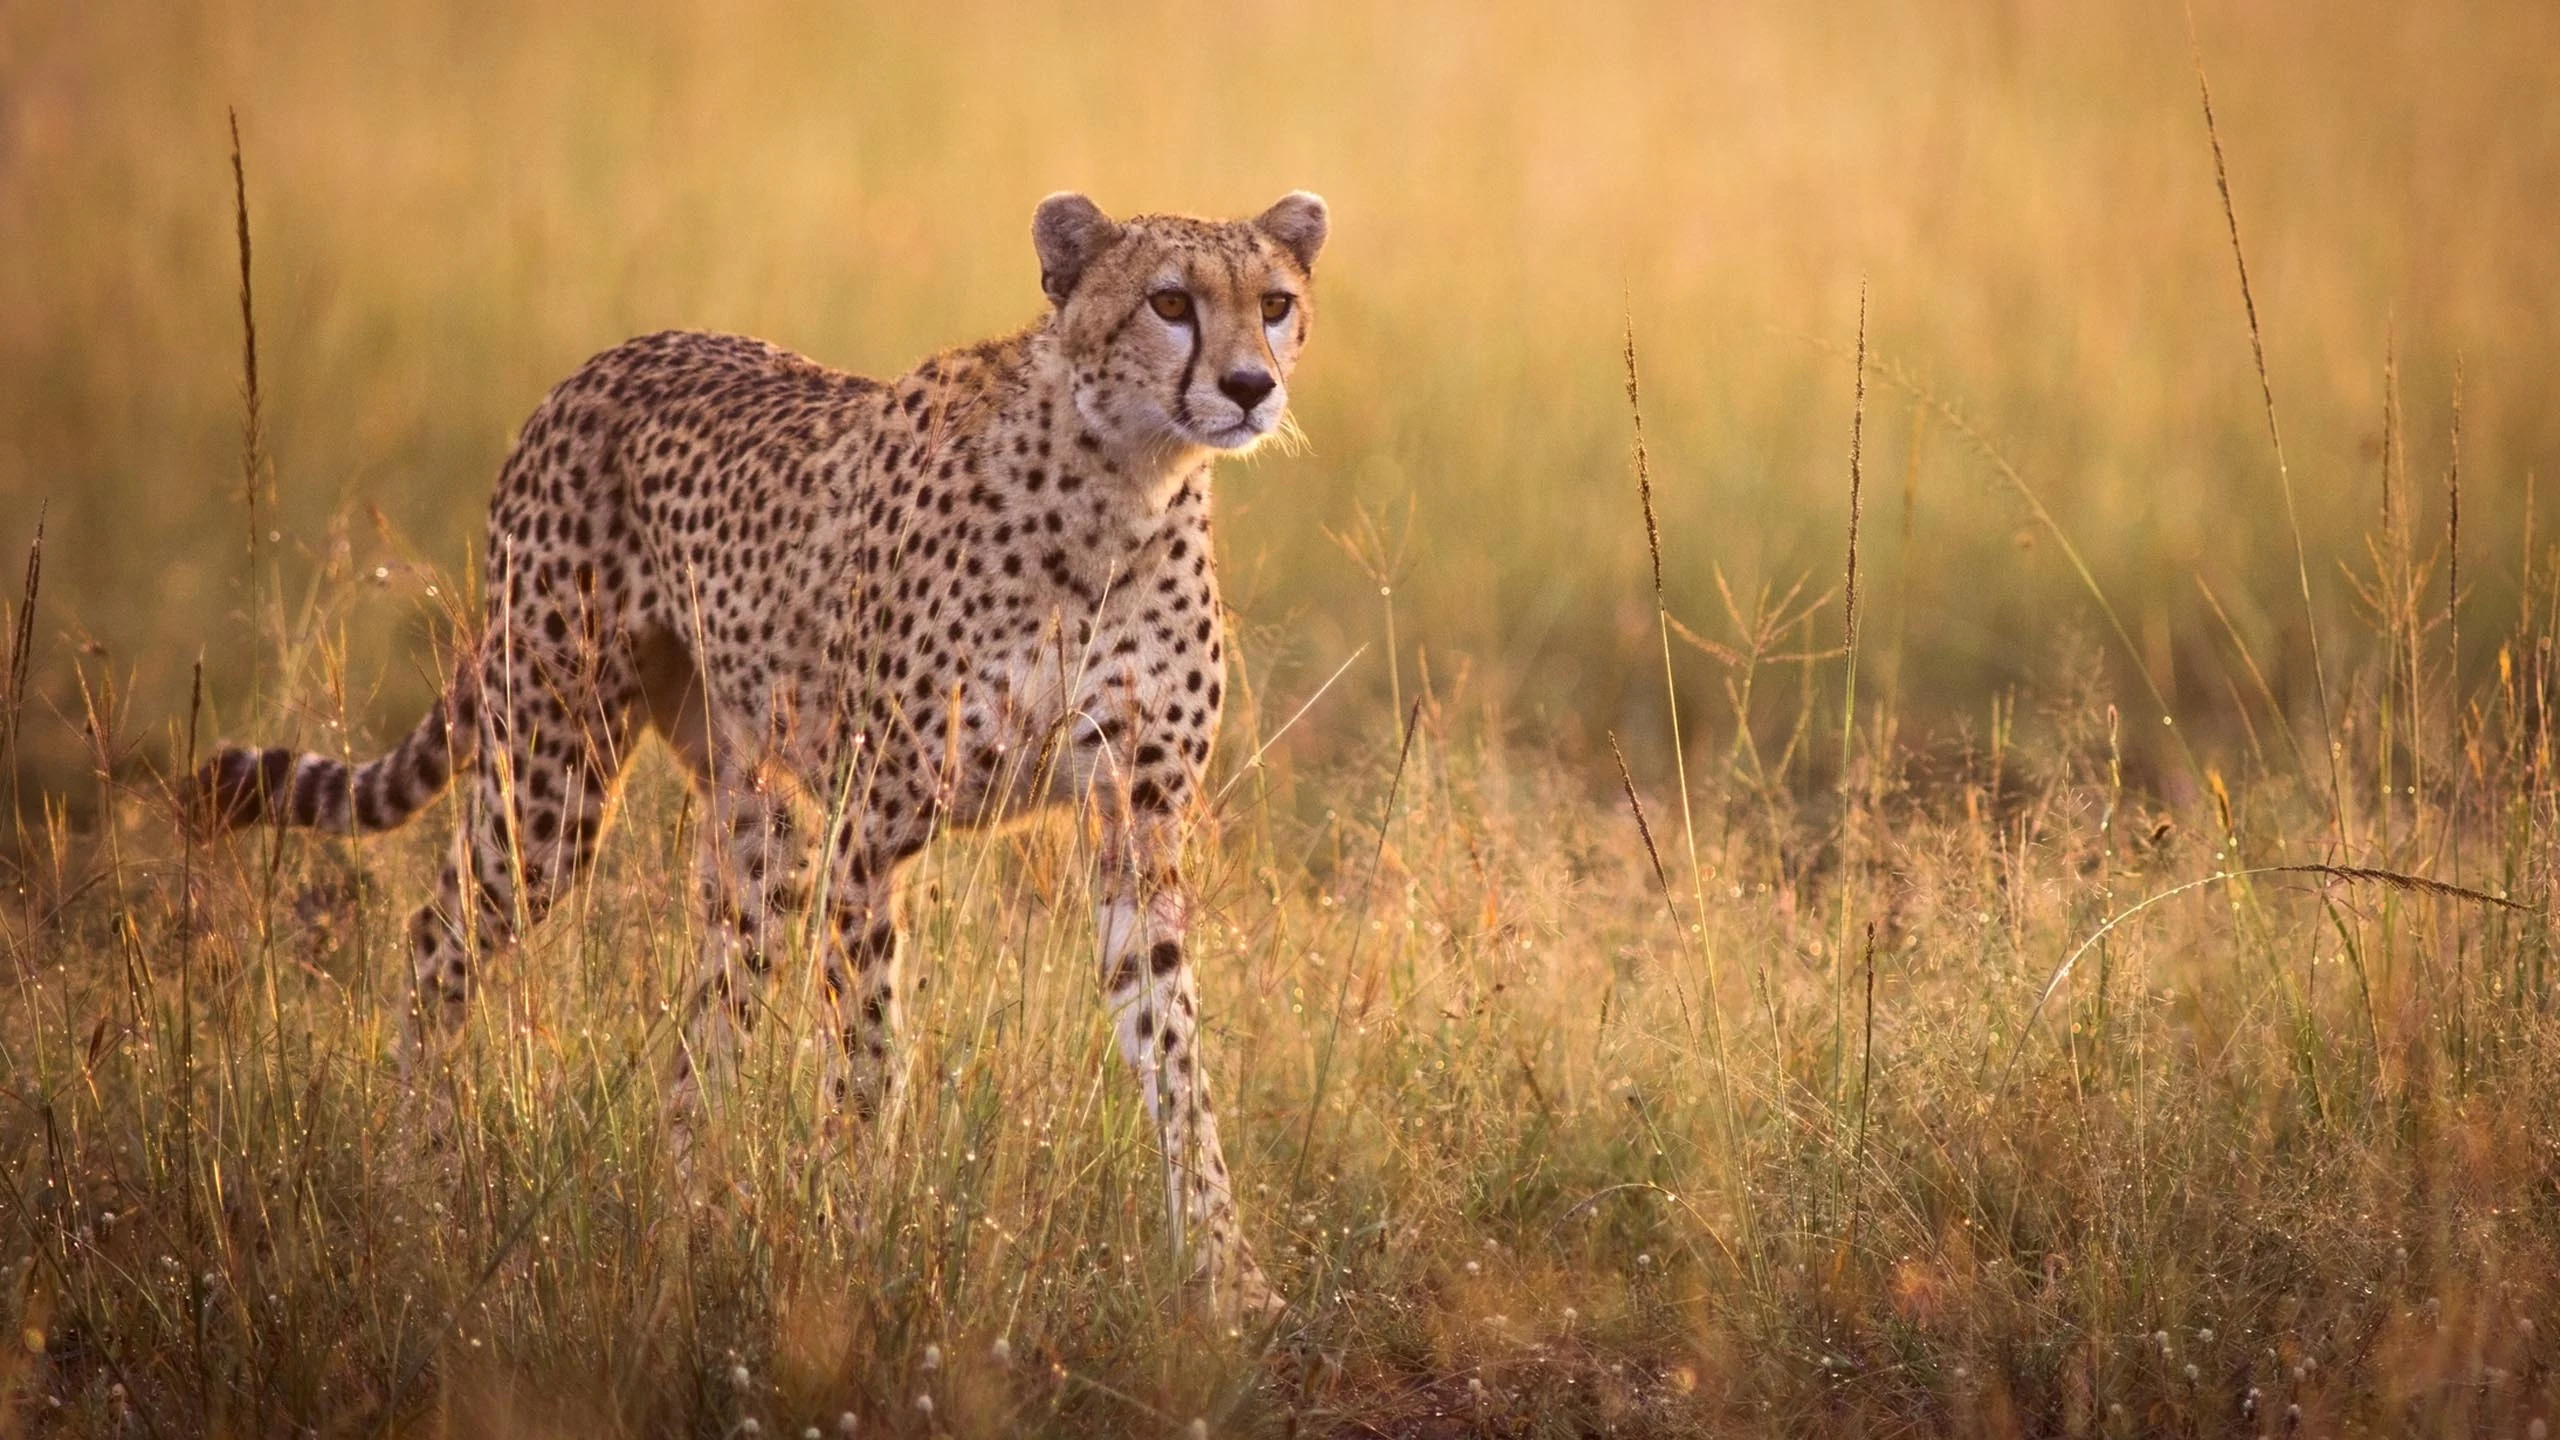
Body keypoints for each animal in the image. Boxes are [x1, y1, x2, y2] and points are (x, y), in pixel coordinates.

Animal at [185, 190, 1329, 1317]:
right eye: (1170, 302)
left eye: (1274, 303)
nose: (1248, 387)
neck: (1122, 486)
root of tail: (607, 359)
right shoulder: (874, 829)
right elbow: (869, 1062)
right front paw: (861, 1247)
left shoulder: (1138, 827)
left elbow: (1176, 1060)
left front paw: (1227, 1279)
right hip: (552, 778)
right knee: (437, 938)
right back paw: (416, 1177)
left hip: (760, 837)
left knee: (702, 1033)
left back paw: (695, 1222)